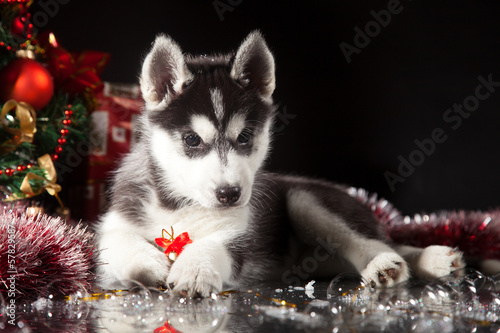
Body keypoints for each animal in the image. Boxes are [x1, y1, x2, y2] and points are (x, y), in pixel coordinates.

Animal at [96, 31, 464, 296]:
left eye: (245, 136)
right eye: (191, 140)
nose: (230, 194)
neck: (183, 205)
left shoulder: (240, 234)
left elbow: (213, 243)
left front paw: (194, 267)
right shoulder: (115, 220)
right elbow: (115, 241)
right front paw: (149, 263)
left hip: (306, 200)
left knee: (375, 241)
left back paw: (392, 263)